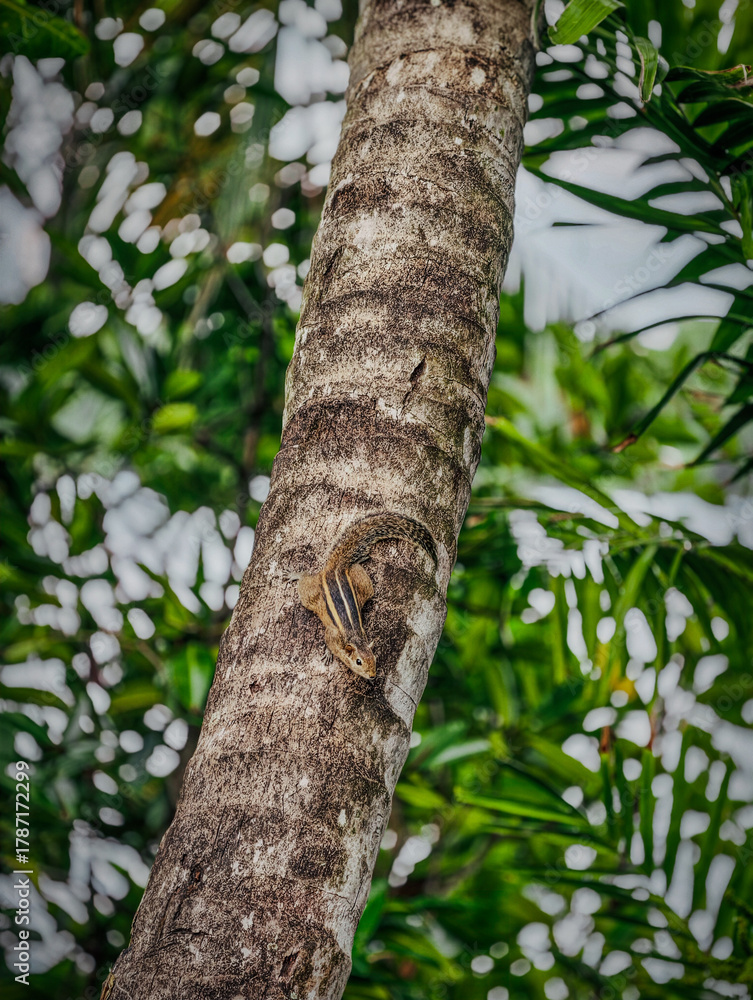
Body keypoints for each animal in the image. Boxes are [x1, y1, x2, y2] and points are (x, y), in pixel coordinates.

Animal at [286, 512, 437, 679]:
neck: (356, 638)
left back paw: (360, 558)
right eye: (358, 662)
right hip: (312, 595)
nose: (372, 675)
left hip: (363, 585)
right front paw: (328, 653)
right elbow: (329, 642)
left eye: (375, 658)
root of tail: (336, 569)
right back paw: (296, 575)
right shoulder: (333, 635)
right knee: (306, 583)